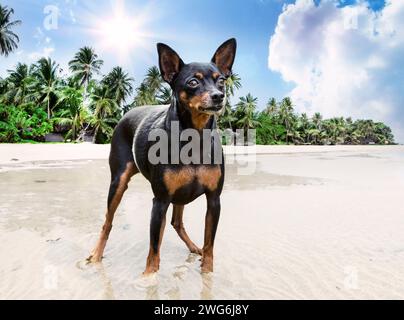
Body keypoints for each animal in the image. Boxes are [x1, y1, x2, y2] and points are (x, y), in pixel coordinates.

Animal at [87, 37, 235, 272]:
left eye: (221, 81)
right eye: (193, 82)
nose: (219, 96)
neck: (195, 136)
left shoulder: (214, 200)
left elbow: (209, 245)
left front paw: (207, 272)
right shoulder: (160, 201)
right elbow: (154, 251)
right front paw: (148, 277)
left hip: (180, 195)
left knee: (177, 223)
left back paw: (194, 247)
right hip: (118, 181)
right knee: (107, 222)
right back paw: (96, 254)